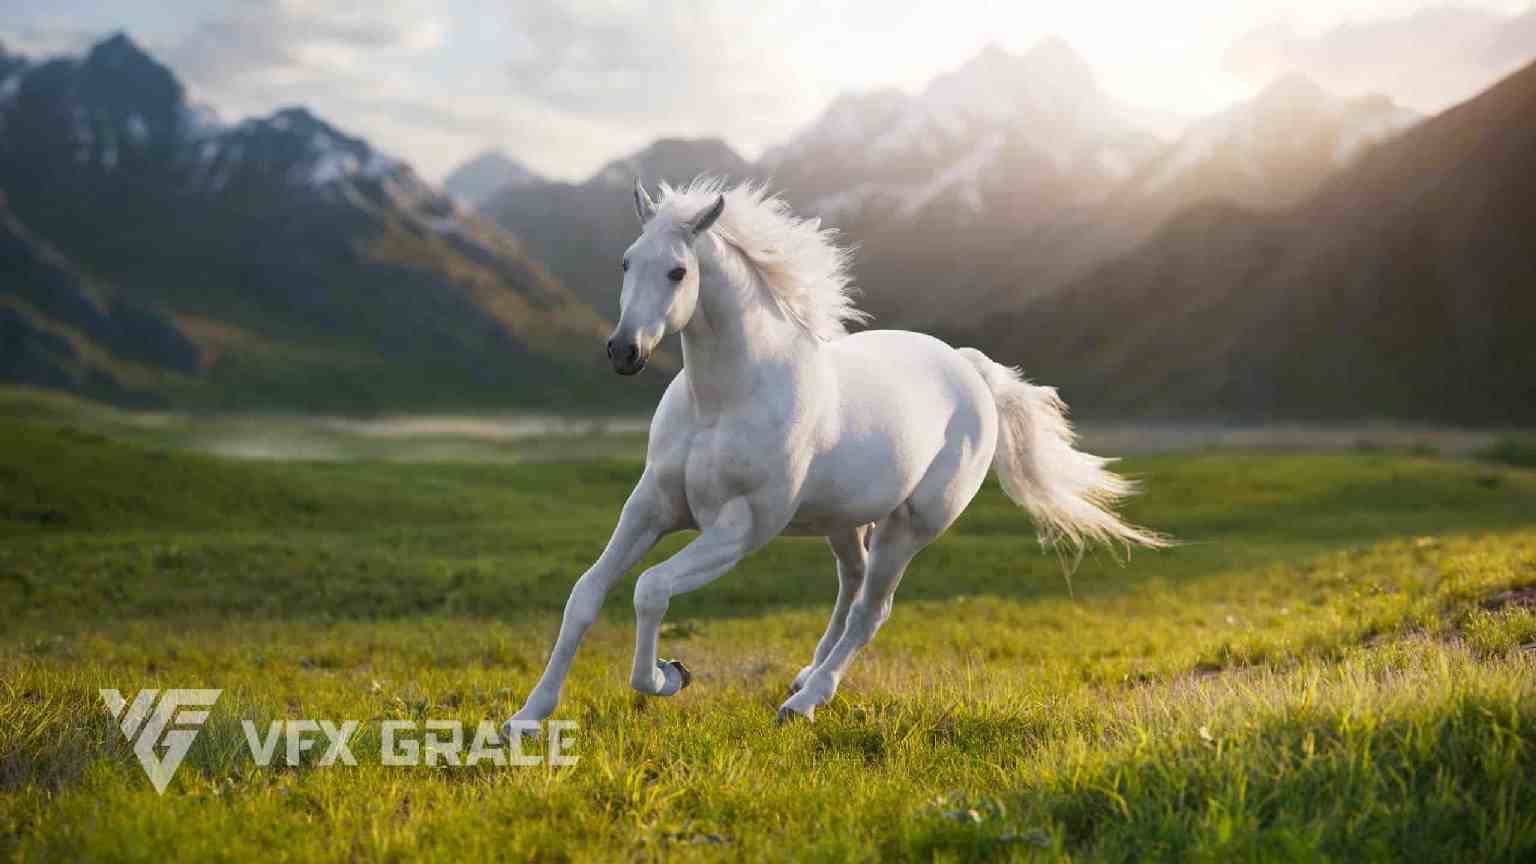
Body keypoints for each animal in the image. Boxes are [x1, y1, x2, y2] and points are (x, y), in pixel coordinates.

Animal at [505, 177, 1164, 732]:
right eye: (625, 261)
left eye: (676, 271)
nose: (624, 352)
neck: (724, 400)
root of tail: (970, 368)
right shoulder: (651, 507)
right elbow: (586, 594)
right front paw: (528, 718)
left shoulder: (741, 529)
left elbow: (650, 588)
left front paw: (668, 676)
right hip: (843, 521)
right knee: (851, 588)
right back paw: (804, 677)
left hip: (911, 526)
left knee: (872, 610)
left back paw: (803, 703)